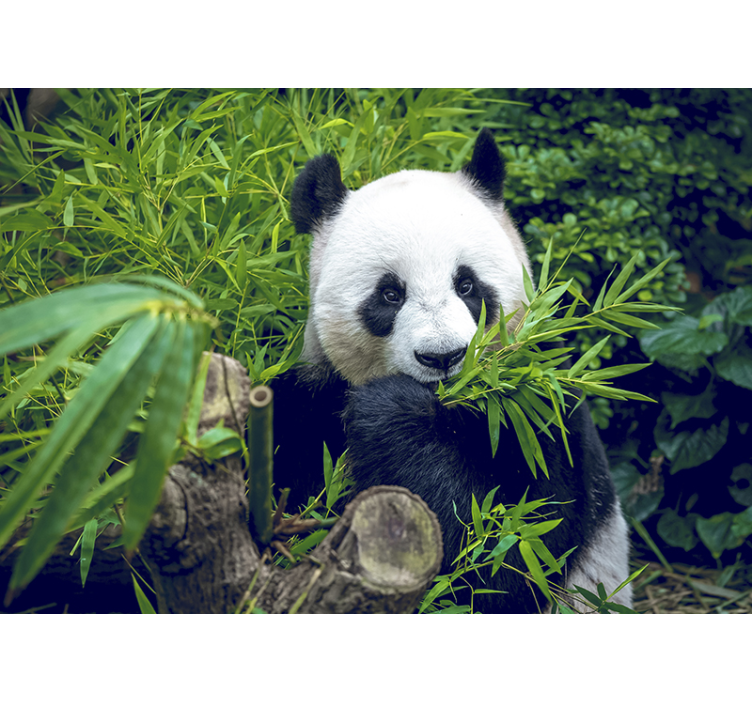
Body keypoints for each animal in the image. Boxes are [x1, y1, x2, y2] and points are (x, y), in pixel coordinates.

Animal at [271, 128, 632, 613]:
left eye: (467, 285)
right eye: (389, 294)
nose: (443, 357)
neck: (451, 407)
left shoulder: (540, 414)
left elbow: (510, 551)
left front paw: (388, 412)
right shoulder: (310, 402)